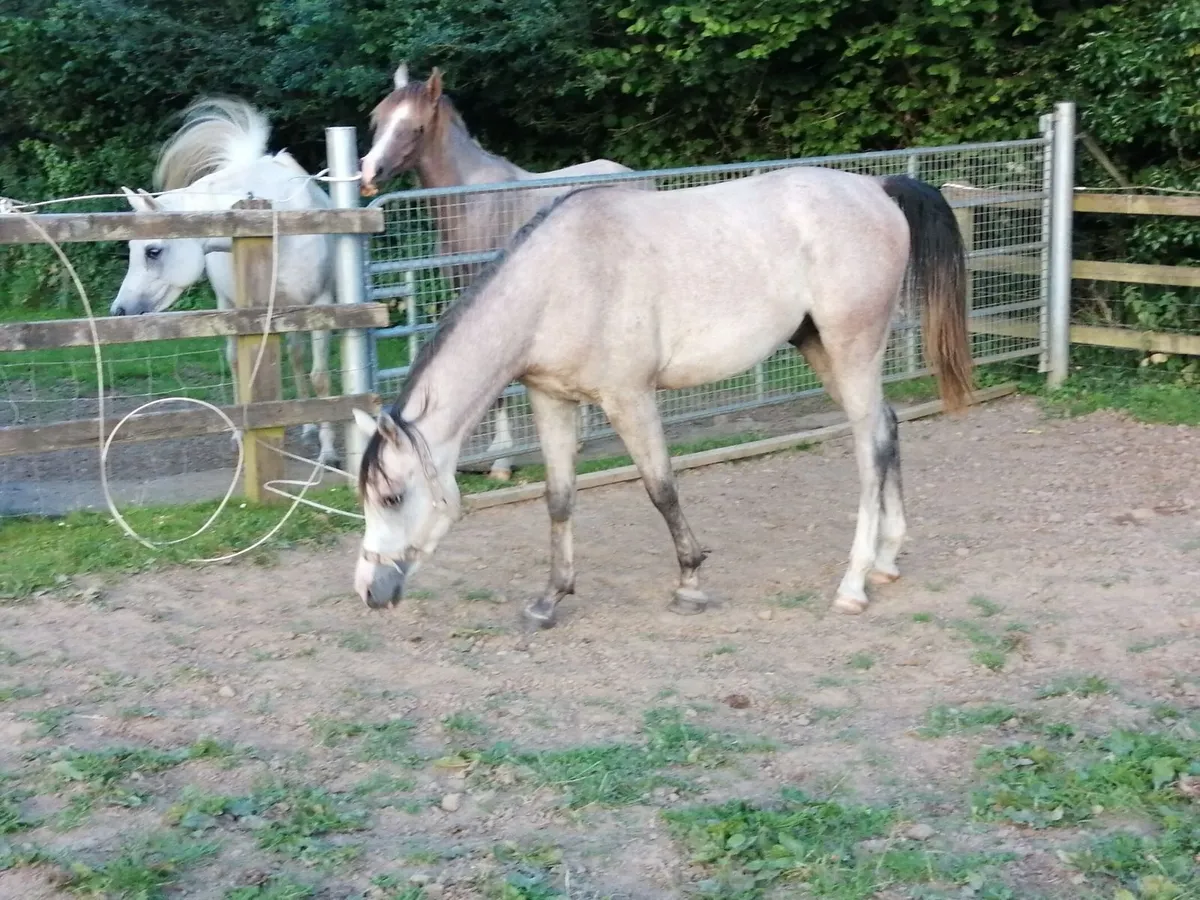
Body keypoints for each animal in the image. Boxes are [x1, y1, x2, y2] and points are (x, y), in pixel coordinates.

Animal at [110, 97, 340, 465]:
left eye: (152, 250)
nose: (118, 310)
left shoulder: (321, 304)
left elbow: (320, 377)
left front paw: (329, 451)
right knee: (248, 360)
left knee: (297, 357)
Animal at [350, 166, 974, 627]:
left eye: (391, 496)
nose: (369, 591)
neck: (557, 283)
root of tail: (875, 189)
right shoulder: (553, 401)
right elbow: (559, 499)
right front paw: (550, 598)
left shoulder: (630, 398)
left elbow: (662, 489)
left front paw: (690, 583)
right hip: (823, 349)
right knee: (886, 426)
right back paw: (887, 560)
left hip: (852, 348)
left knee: (869, 448)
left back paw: (854, 583)